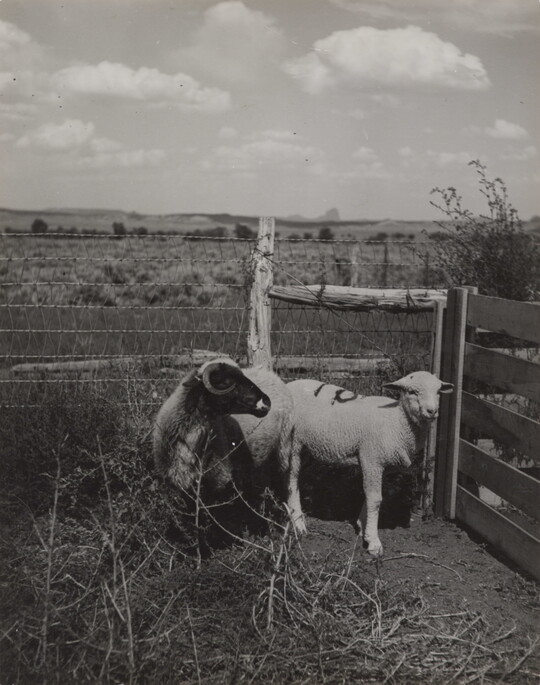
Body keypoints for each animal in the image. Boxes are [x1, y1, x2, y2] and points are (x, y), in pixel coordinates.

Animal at [283, 371, 453, 556]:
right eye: (412, 392)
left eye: (438, 391)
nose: (432, 411)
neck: (397, 420)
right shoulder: (372, 457)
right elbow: (375, 499)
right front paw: (373, 541)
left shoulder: (378, 463)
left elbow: (370, 495)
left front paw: (362, 525)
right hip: (292, 442)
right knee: (292, 479)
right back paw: (297, 521)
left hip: (307, 447)